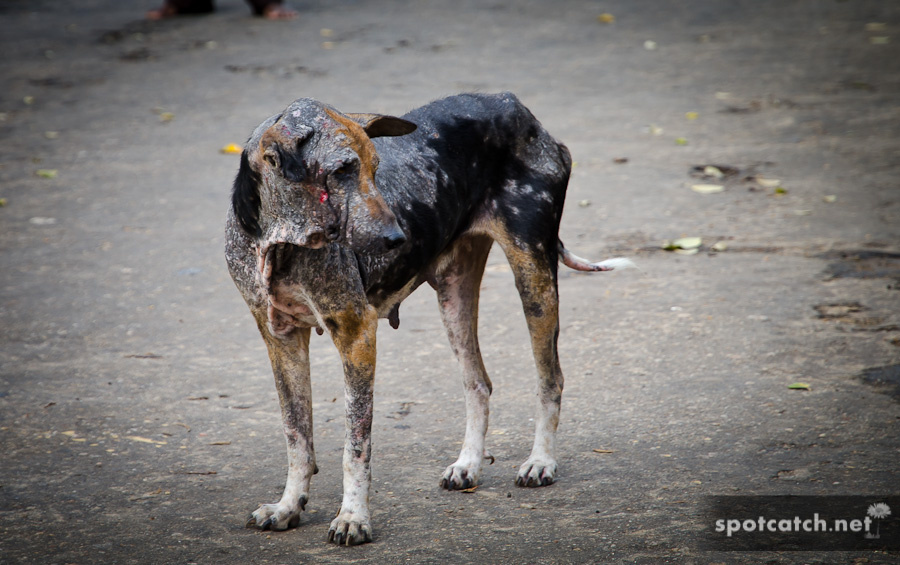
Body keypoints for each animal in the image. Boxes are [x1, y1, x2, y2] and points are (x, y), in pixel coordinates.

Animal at [225, 93, 632, 548]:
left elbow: (355, 447)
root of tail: (514, 105)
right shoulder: (281, 339)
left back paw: (541, 460)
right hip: (455, 298)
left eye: (375, 167)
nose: (396, 239)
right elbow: (297, 437)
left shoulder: (357, 336)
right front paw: (288, 506)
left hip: (535, 282)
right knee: (478, 383)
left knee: (551, 379)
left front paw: (353, 517)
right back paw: (469, 463)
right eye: (342, 170)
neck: (280, 241)